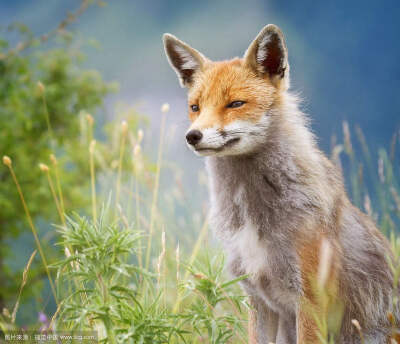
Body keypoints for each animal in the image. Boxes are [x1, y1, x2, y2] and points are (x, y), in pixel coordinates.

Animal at [162, 23, 396, 342]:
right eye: (195, 107)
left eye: (235, 104)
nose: (192, 136)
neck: (252, 212)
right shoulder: (258, 298)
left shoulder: (309, 300)